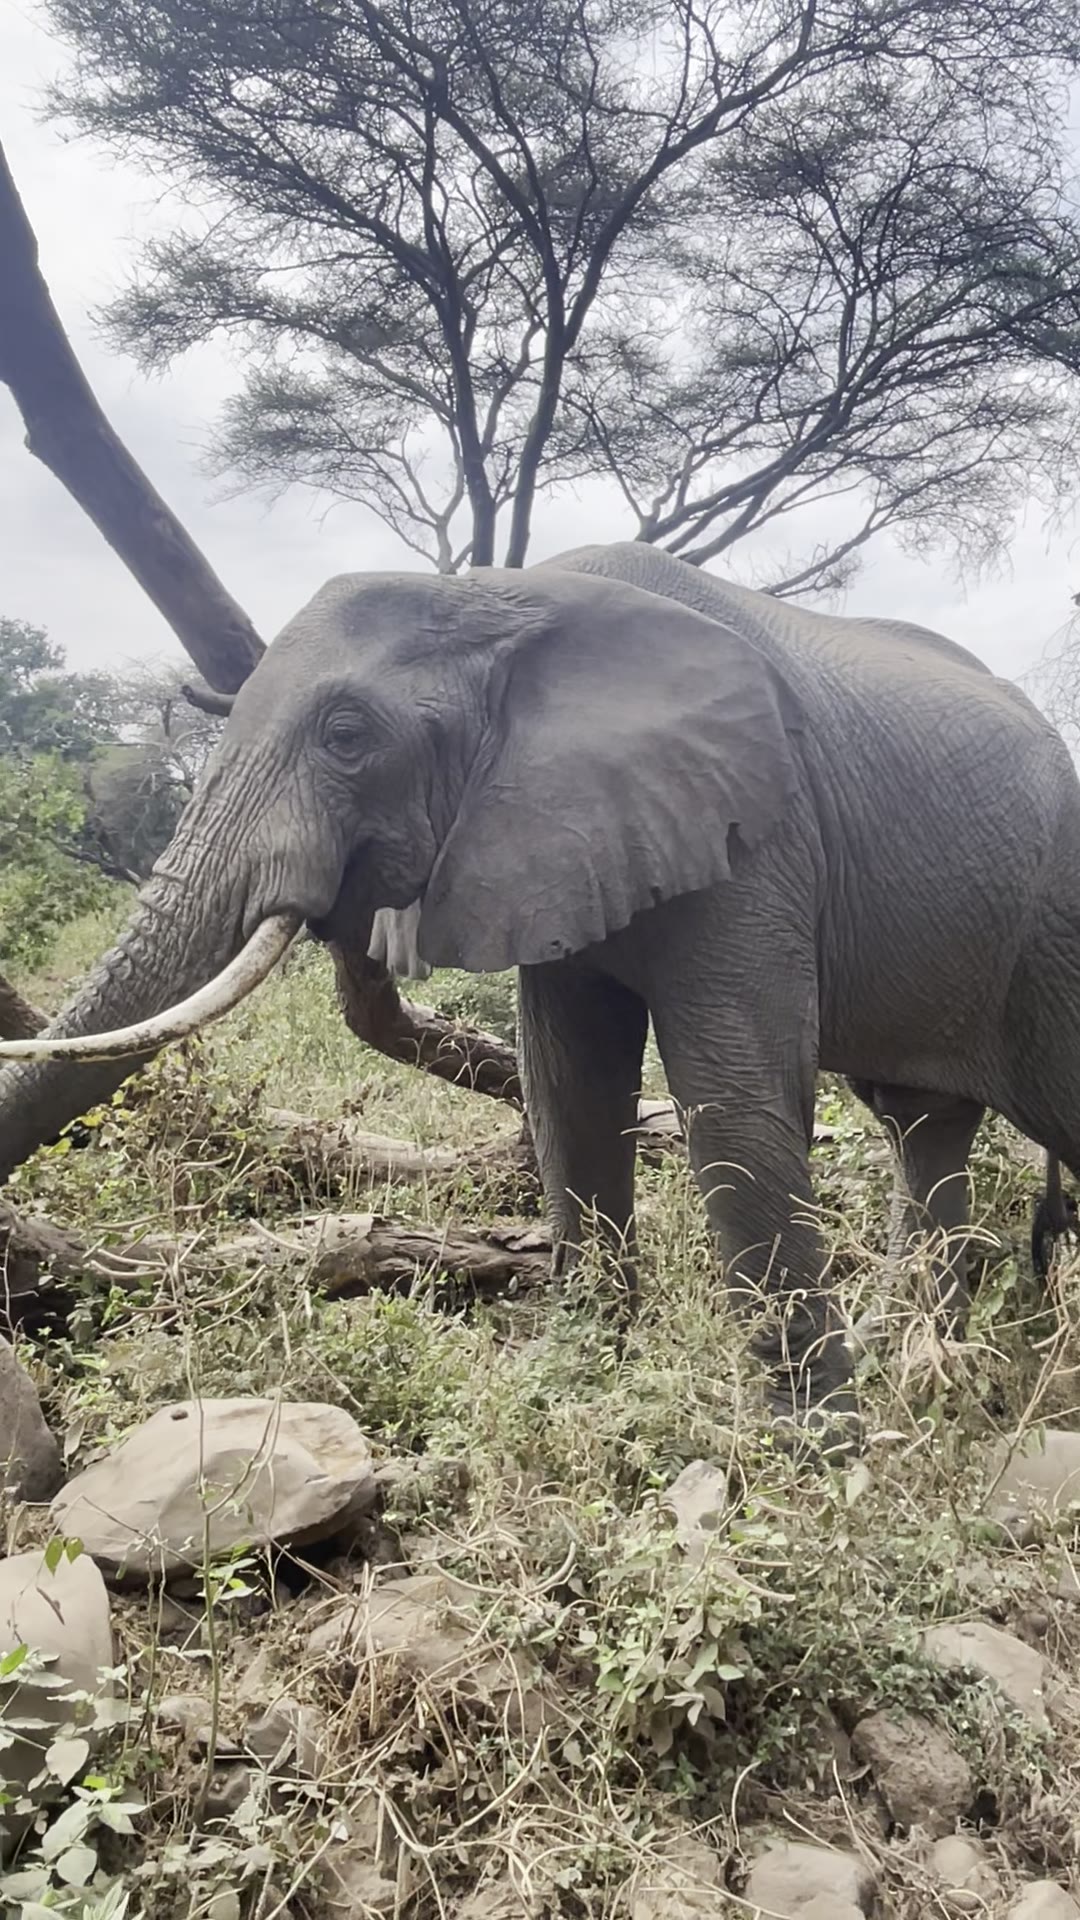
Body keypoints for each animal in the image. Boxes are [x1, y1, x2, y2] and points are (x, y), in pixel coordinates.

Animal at [1, 540, 1079, 1438]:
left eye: (346, 735)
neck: (504, 595)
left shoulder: (758, 831)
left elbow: (731, 1106)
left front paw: (813, 1457)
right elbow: (570, 1093)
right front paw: (588, 1383)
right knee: (920, 1126)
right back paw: (926, 1375)